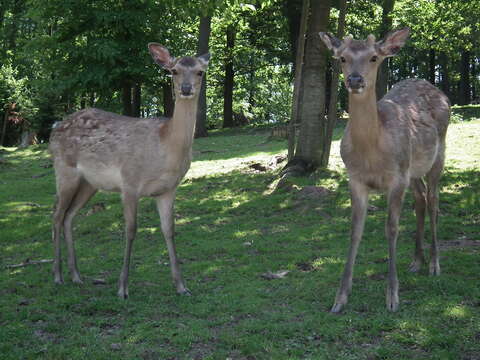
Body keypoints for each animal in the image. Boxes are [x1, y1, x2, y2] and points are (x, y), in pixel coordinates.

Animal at [48, 43, 210, 300]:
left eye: (200, 72)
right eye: (174, 71)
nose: (186, 89)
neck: (165, 147)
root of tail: (54, 128)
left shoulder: (168, 189)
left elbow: (169, 230)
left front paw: (181, 286)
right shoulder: (130, 183)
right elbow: (131, 230)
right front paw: (122, 288)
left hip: (89, 183)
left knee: (69, 216)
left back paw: (76, 276)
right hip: (64, 170)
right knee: (56, 215)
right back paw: (58, 276)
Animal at [318, 28, 450, 312]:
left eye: (373, 58)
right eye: (342, 58)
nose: (355, 79)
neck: (372, 153)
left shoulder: (396, 178)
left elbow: (391, 229)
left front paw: (392, 297)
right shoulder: (355, 179)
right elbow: (355, 231)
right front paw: (340, 298)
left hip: (438, 155)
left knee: (433, 201)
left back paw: (434, 264)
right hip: (412, 169)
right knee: (420, 200)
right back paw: (416, 261)